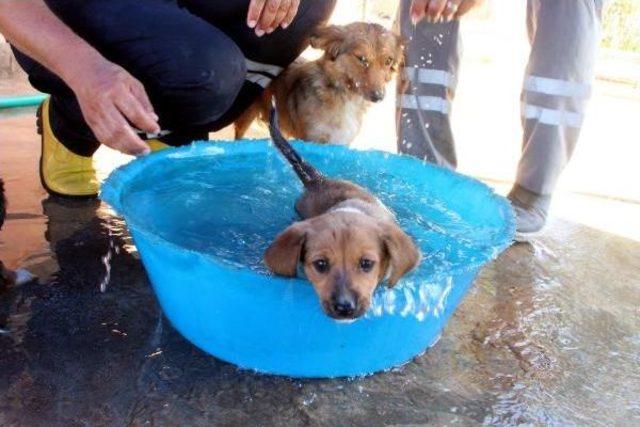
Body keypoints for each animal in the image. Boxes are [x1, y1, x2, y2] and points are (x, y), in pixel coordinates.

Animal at [235, 22, 404, 145]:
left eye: (388, 61)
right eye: (362, 58)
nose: (378, 96)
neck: (347, 98)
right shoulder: (313, 139)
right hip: (246, 115)